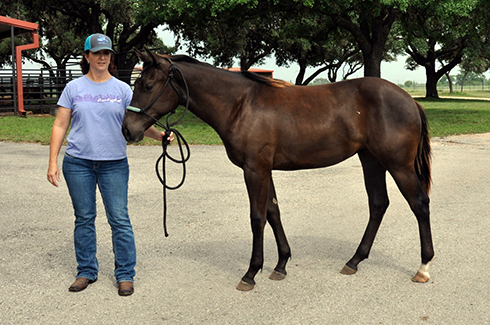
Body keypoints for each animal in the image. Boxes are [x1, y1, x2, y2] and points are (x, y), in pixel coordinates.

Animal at [121, 50, 432, 292]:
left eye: (147, 85)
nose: (127, 130)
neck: (240, 105)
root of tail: (410, 100)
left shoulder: (255, 169)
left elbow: (257, 217)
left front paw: (250, 273)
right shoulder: (265, 169)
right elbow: (273, 212)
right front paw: (281, 265)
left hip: (398, 165)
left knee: (419, 204)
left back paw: (423, 267)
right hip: (371, 161)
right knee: (378, 204)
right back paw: (354, 261)